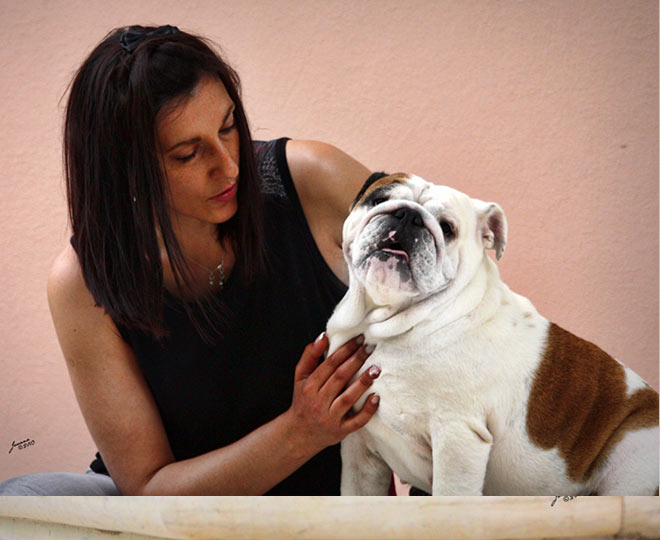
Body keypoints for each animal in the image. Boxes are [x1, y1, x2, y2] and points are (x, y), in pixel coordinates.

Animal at [326, 173, 659, 496]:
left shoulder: (457, 438)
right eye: (378, 199)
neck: (386, 324)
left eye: (447, 228)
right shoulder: (359, 450)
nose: (408, 215)